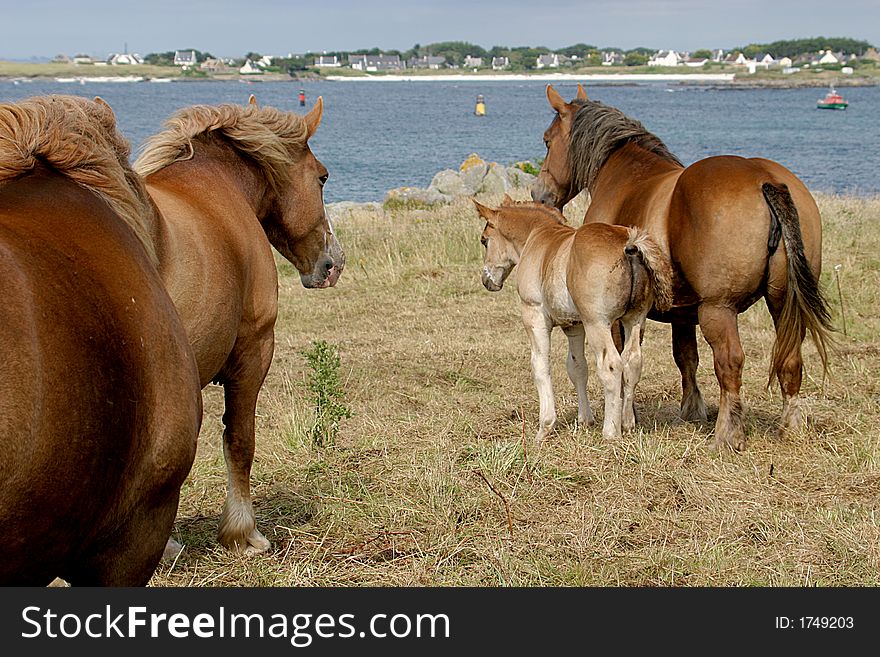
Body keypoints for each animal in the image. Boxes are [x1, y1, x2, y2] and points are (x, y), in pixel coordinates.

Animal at [474, 197, 672, 438]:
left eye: (484, 241)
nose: (487, 280)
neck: (537, 237)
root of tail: (629, 245)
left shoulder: (534, 315)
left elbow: (540, 365)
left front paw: (545, 426)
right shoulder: (574, 326)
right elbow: (577, 367)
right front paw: (585, 419)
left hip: (597, 323)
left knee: (611, 365)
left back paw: (611, 431)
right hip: (634, 319)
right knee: (632, 361)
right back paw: (627, 423)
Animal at [532, 83, 836, 452]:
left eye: (548, 141)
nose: (539, 194)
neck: (627, 180)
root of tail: (765, 180)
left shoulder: (618, 315)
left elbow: (623, 361)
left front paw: (623, 415)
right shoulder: (682, 312)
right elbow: (686, 357)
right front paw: (692, 409)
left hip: (718, 309)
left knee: (730, 362)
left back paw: (727, 434)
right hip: (781, 302)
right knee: (791, 359)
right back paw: (789, 425)